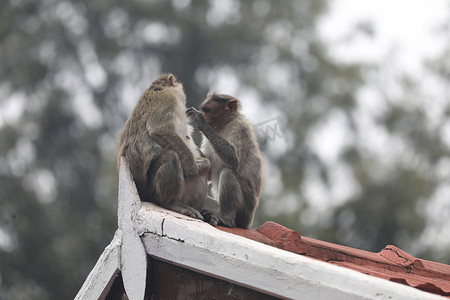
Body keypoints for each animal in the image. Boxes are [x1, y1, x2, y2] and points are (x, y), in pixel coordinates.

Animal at [118, 74, 212, 221]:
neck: (157, 88)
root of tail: (142, 194)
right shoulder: (166, 98)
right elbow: (159, 129)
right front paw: (192, 167)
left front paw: (204, 163)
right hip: (152, 189)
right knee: (171, 157)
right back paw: (171, 203)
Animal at [186, 90, 264, 229]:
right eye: (204, 110)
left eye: (208, 110)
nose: (204, 116)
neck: (225, 125)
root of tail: (248, 223)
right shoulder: (208, 138)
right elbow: (208, 172)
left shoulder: (239, 128)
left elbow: (234, 160)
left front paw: (201, 121)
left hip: (245, 208)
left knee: (228, 173)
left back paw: (226, 220)